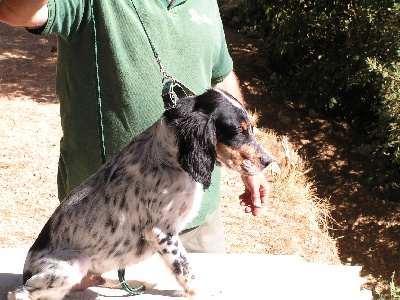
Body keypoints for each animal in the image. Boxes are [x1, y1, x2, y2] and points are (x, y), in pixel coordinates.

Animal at [8, 89, 272, 300]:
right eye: (238, 131)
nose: (269, 162)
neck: (170, 158)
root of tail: (26, 270)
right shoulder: (162, 232)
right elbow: (186, 269)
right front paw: (203, 293)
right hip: (74, 263)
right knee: (20, 294)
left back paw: (136, 283)